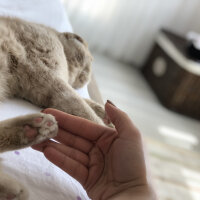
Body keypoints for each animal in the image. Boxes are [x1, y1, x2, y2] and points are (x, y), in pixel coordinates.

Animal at [0, 17, 106, 200]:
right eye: (89, 63)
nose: (88, 77)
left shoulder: (41, 92)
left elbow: (88, 104)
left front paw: (107, 113)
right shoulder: (51, 79)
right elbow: (84, 109)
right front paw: (109, 134)